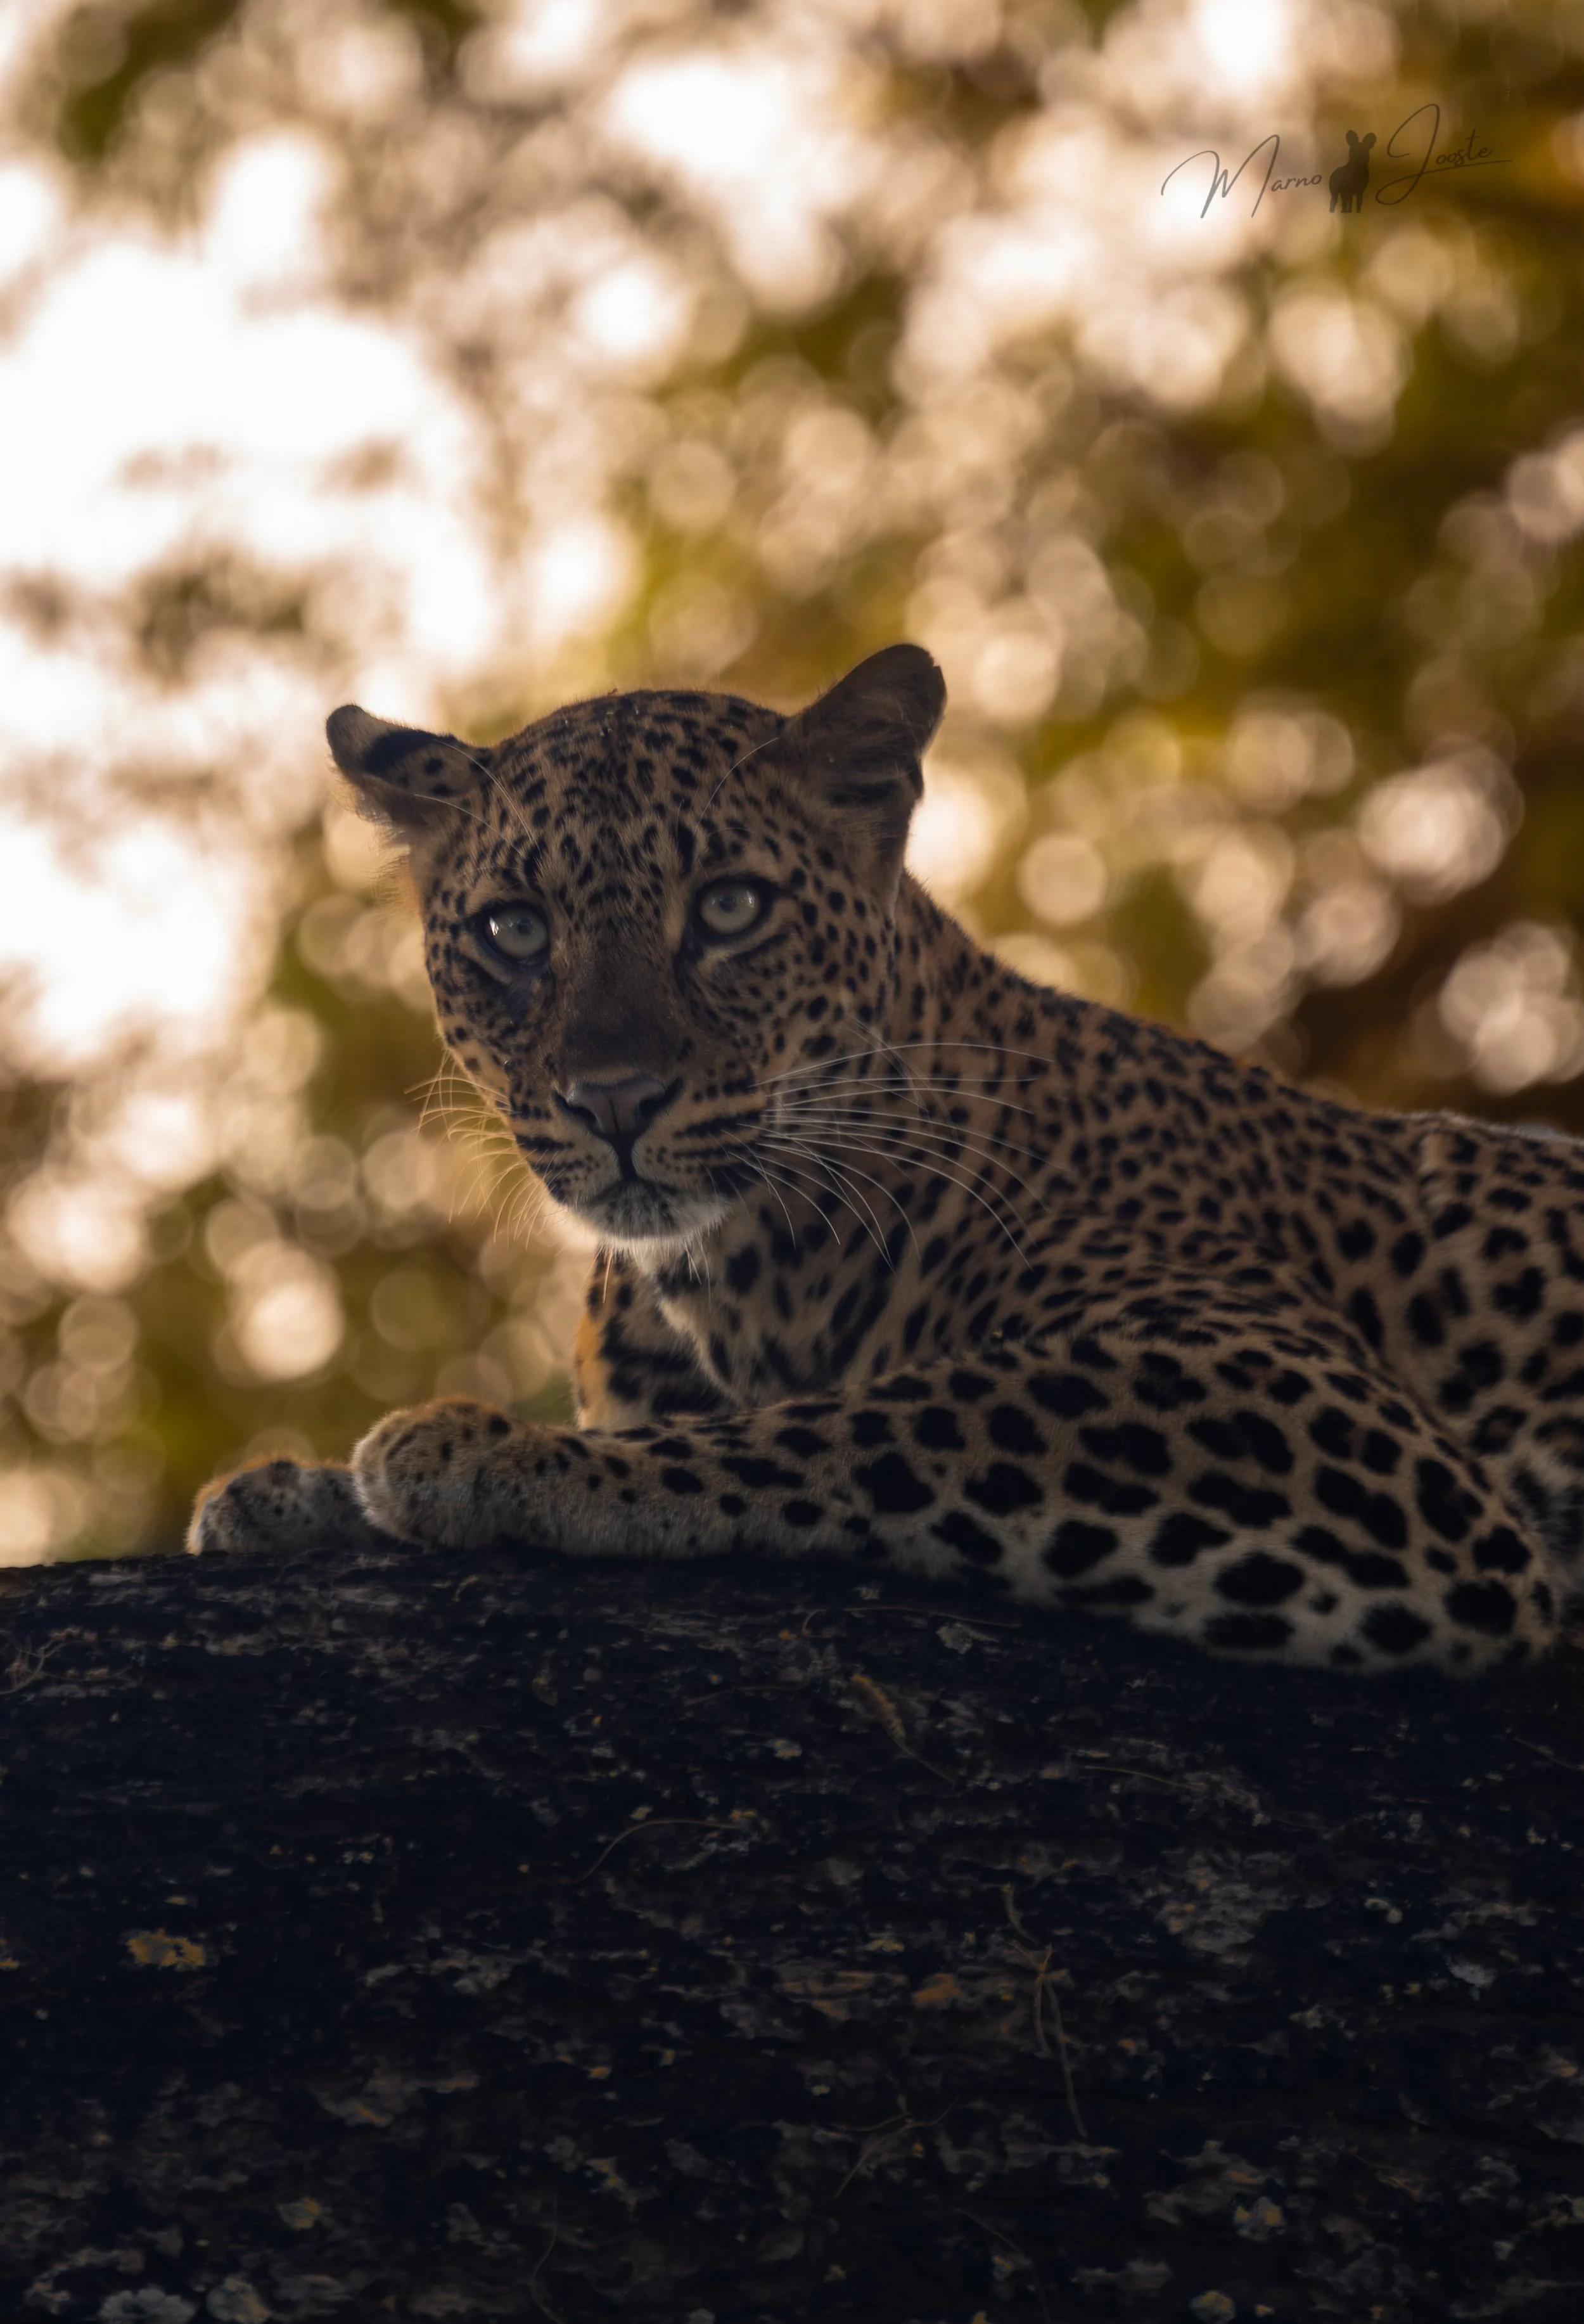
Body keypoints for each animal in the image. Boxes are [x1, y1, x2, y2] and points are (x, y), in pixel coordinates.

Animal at [190, 643, 1584, 1675]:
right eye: (513, 930)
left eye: (731, 909)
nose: (612, 1100)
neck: (731, 1274)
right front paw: (292, 1493)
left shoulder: (1312, 1406)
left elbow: (888, 1414)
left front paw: (490, 1455)